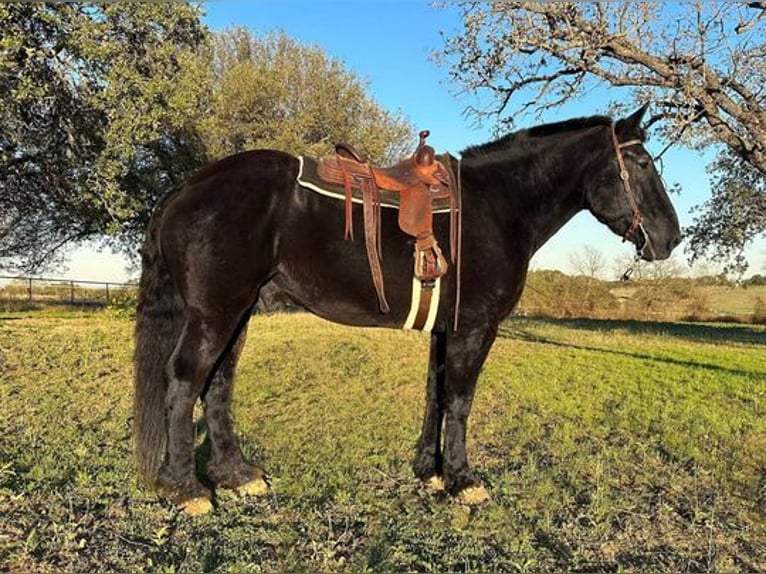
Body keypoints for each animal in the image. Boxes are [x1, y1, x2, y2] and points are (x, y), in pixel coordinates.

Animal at [134, 106, 684, 516]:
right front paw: (463, 480)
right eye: (642, 164)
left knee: (218, 383)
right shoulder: (473, 330)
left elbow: (435, 396)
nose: (671, 238)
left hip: (239, 311)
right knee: (184, 381)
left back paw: (236, 476)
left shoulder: (446, 330)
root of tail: (189, 186)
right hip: (215, 312)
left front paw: (430, 472)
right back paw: (187, 489)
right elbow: (459, 402)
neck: (497, 208)